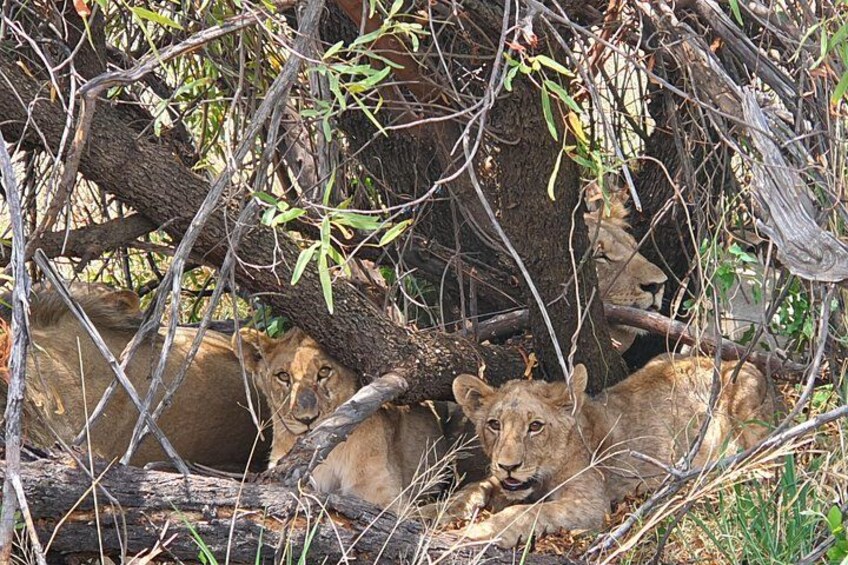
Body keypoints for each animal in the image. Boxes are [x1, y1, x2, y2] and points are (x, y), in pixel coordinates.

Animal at [428, 355, 778, 548]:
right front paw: (425, 512)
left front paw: (476, 533)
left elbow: (525, 513)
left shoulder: (591, 504)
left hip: (748, 418)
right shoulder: (502, 481)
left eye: (536, 426)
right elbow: (472, 489)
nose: (509, 466)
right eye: (494, 424)